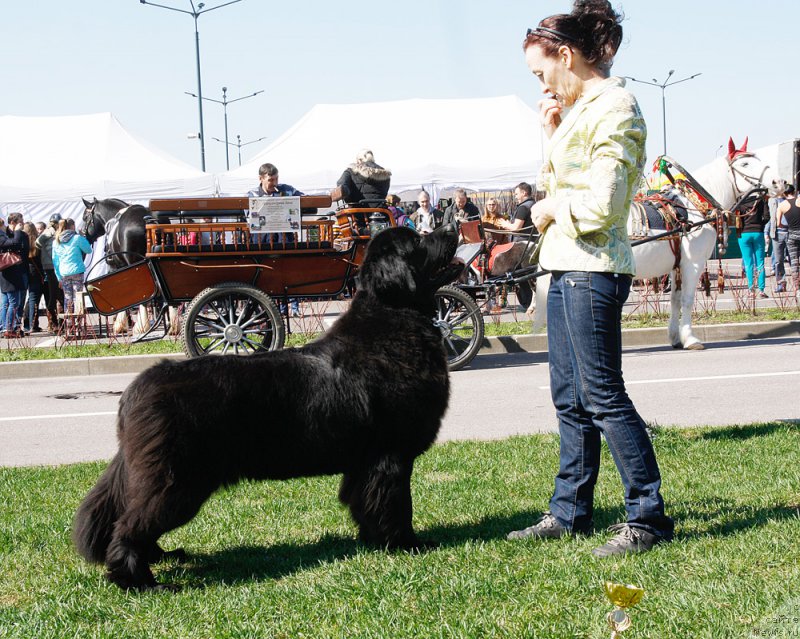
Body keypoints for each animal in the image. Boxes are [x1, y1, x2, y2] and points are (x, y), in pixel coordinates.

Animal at [76, 224, 462, 592]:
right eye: (417, 241)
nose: (451, 227)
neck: (396, 316)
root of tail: (135, 389)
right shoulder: (390, 455)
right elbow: (396, 504)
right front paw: (407, 544)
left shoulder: (363, 463)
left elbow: (364, 503)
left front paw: (373, 540)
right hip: (176, 479)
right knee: (129, 525)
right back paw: (140, 581)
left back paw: (161, 557)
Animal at [536, 136, 780, 350]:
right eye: (745, 163)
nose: (779, 182)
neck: (694, 206)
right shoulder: (693, 264)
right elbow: (688, 300)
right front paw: (690, 338)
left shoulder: (676, 266)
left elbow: (675, 300)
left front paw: (675, 337)